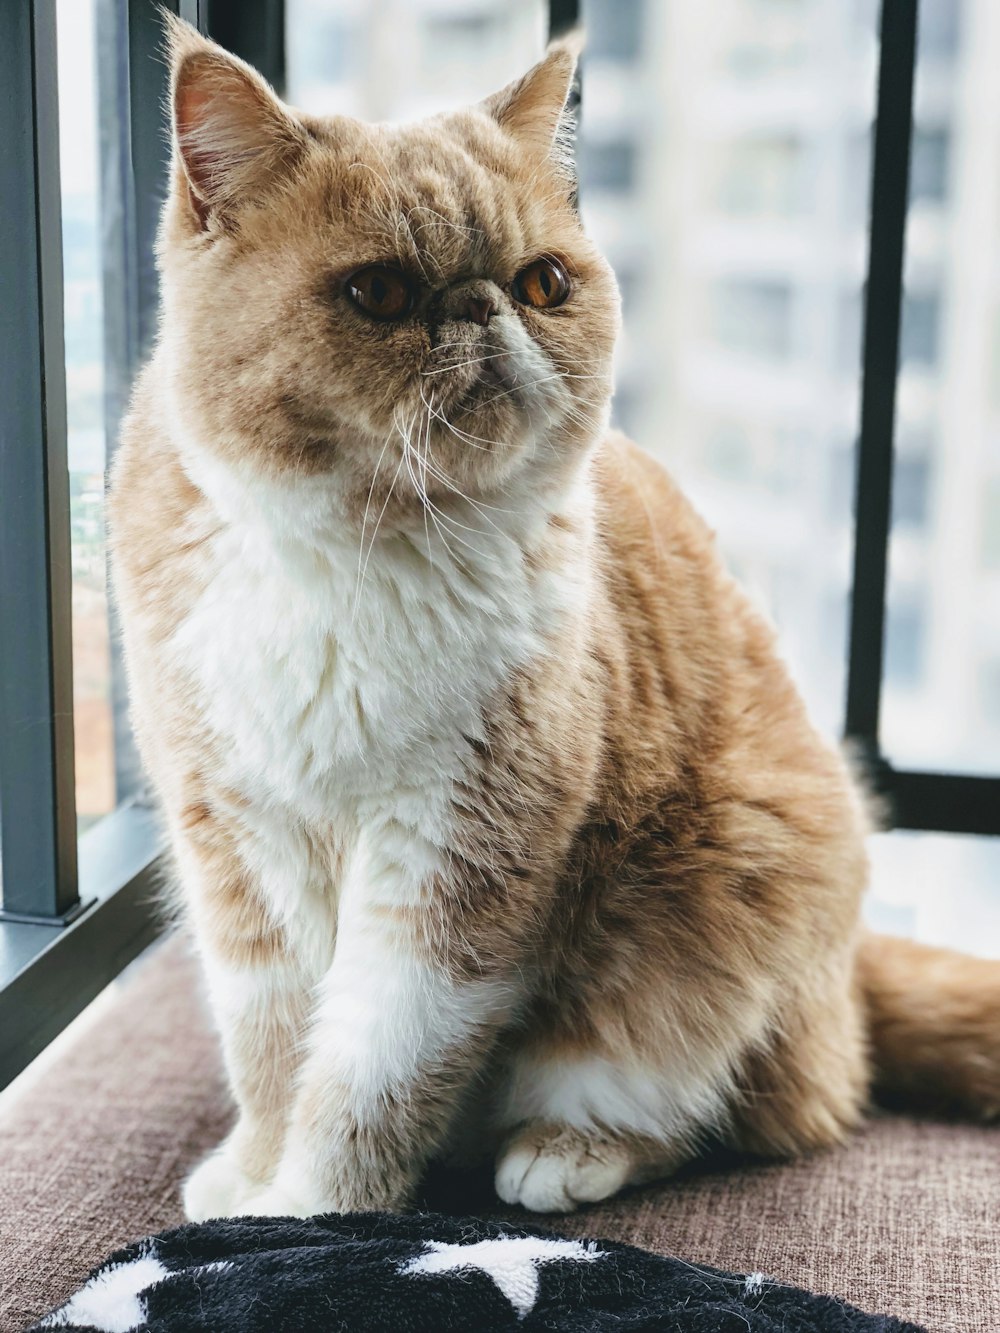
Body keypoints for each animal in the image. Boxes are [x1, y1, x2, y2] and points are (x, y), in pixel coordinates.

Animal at [109, 15, 1000, 1221]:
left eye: (542, 282)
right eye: (379, 294)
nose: (483, 308)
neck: (359, 550)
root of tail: (848, 970)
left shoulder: (461, 851)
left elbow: (374, 1062)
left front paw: (313, 1208)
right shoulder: (239, 842)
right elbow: (273, 1039)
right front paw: (254, 1171)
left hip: (723, 896)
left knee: (733, 1101)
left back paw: (565, 1150)